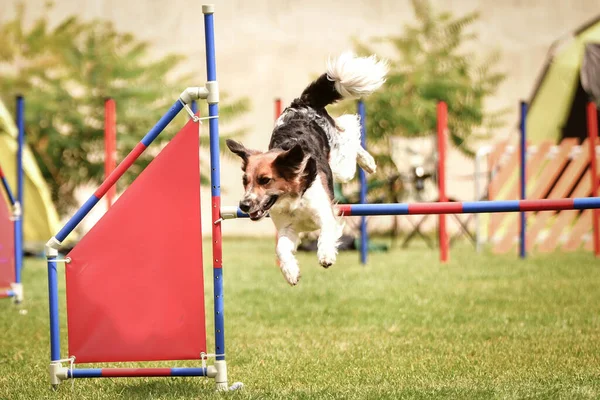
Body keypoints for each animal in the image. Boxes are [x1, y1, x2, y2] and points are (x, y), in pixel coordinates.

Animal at [226, 52, 390, 284]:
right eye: (245, 181)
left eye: (265, 180)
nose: (244, 205)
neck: (294, 198)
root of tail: (300, 104)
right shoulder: (288, 228)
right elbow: (281, 249)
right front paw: (290, 272)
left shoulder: (326, 213)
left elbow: (326, 233)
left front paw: (326, 255)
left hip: (341, 165)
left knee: (349, 130)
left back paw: (368, 162)